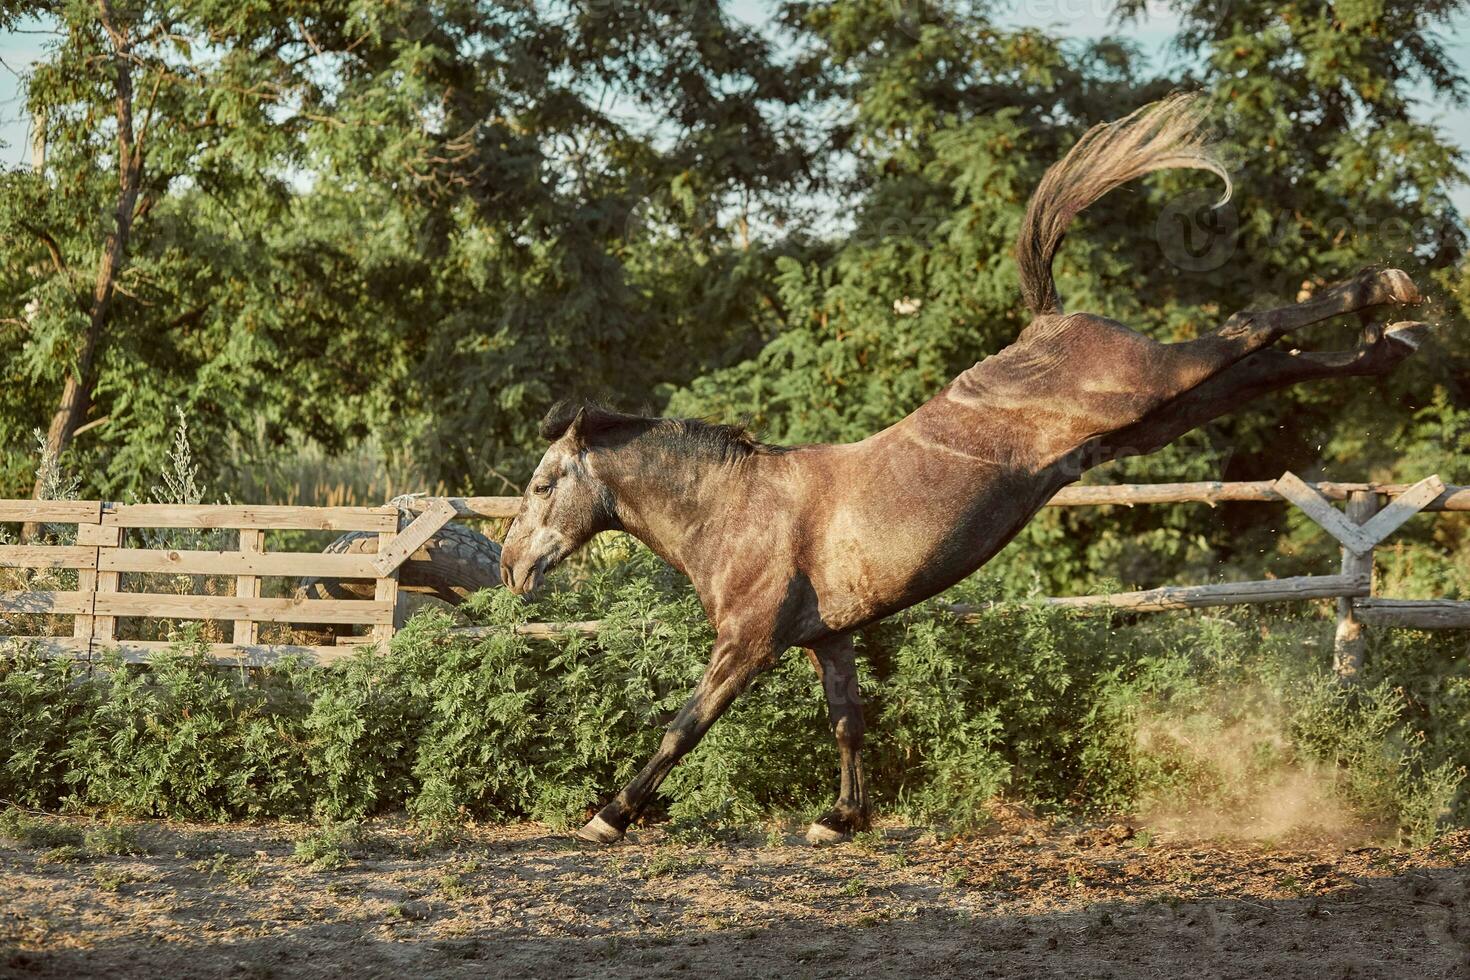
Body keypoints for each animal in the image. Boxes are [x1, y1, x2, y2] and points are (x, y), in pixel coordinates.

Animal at [496, 101, 1422, 852]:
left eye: (541, 486)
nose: (510, 568)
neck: (735, 511)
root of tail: (1049, 321)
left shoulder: (746, 647)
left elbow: (684, 726)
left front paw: (609, 814)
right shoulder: (827, 638)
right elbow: (848, 722)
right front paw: (842, 819)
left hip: (1154, 385)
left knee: (1253, 325)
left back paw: (1390, 289)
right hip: (1162, 413)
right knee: (1270, 362)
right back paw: (1388, 341)